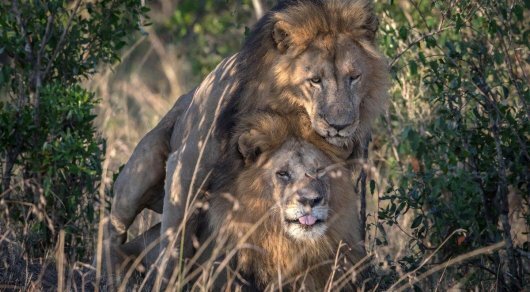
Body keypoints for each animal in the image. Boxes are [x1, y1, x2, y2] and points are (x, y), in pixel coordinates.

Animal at [99, 0, 386, 280]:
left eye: (354, 77)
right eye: (315, 80)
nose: (340, 126)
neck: (287, 111)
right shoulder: (186, 167)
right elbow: (173, 243)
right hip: (141, 172)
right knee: (113, 230)